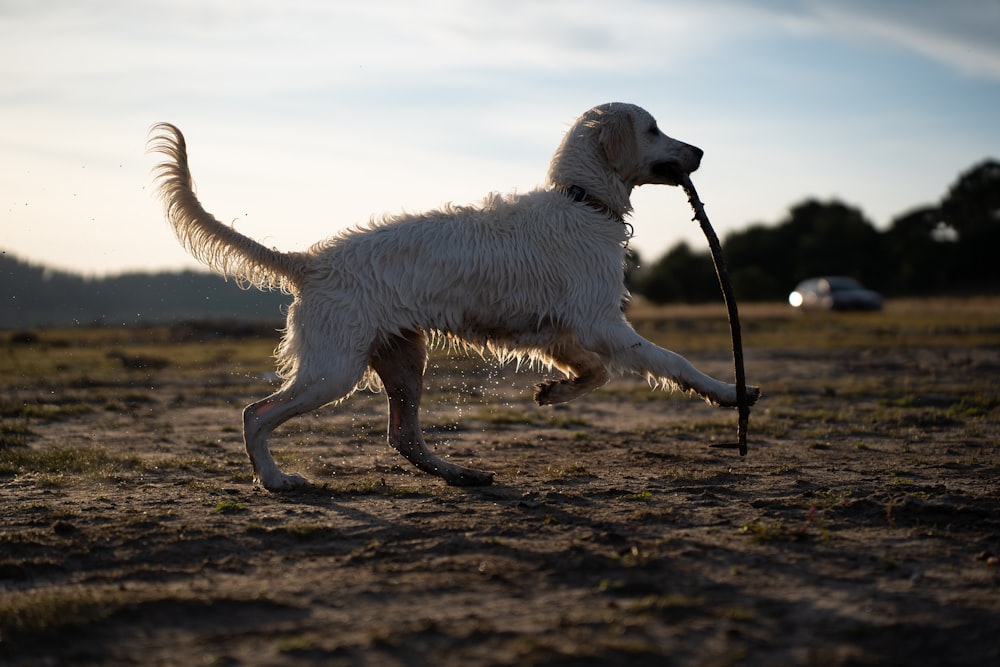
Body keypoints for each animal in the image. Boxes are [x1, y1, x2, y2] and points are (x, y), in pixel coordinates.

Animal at [146, 103, 756, 490]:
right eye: (653, 128)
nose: (700, 151)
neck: (581, 201)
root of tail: (310, 262)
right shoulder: (601, 321)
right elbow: (671, 362)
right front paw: (730, 393)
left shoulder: (559, 330)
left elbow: (596, 372)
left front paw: (554, 392)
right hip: (333, 370)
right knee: (256, 414)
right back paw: (275, 480)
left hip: (402, 360)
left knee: (403, 438)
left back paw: (464, 473)